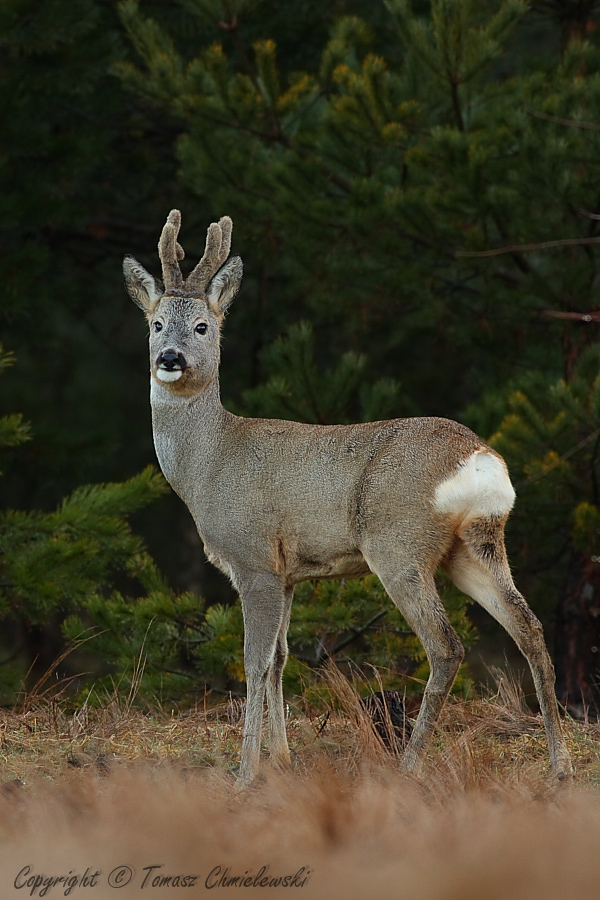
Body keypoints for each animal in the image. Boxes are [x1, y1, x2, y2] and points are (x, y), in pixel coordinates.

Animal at [124, 209, 576, 780]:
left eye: (203, 326)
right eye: (156, 323)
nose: (170, 357)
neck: (209, 464)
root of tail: (479, 458)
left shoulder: (253, 560)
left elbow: (255, 661)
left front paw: (246, 772)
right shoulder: (289, 573)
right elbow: (281, 660)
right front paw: (284, 758)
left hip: (399, 545)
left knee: (447, 647)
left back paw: (409, 765)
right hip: (475, 545)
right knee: (529, 628)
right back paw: (560, 765)